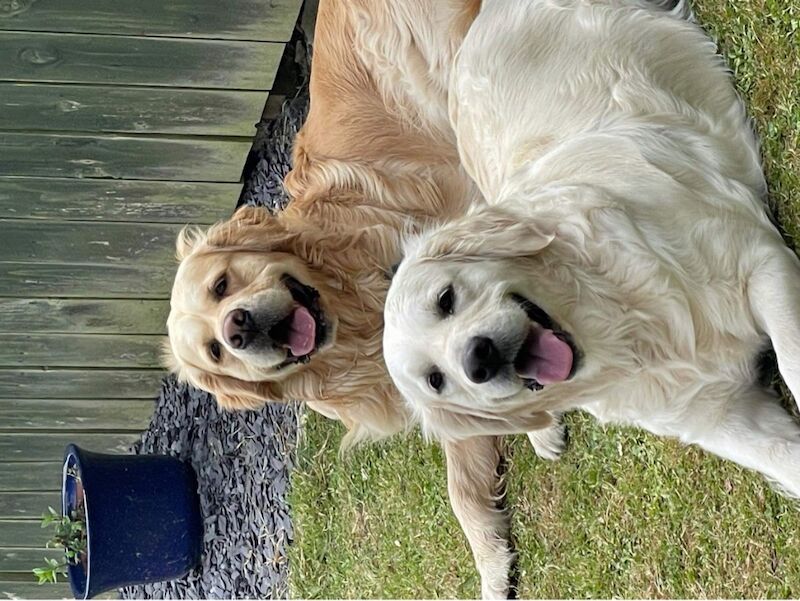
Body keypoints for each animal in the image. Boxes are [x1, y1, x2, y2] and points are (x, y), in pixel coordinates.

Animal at [382, 0, 800, 520]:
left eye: (445, 298)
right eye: (436, 381)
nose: (479, 360)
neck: (623, 321)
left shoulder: (759, 262)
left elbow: (793, 361)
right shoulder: (719, 412)